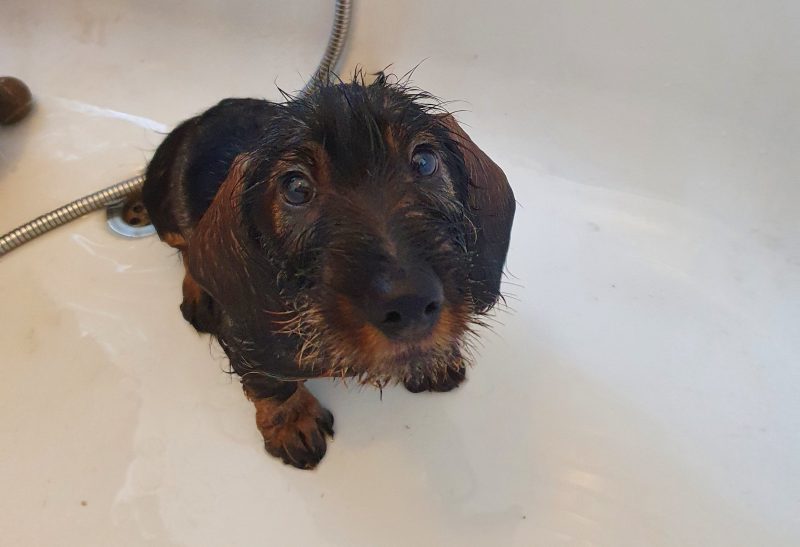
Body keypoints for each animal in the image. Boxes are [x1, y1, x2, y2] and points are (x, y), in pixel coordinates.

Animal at [144, 73, 516, 468]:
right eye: (296, 188)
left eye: (425, 162)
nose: (410, 304)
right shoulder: (247, 341)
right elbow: (271, 383)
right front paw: (292, 422)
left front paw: (436, 359)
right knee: (186, 247)